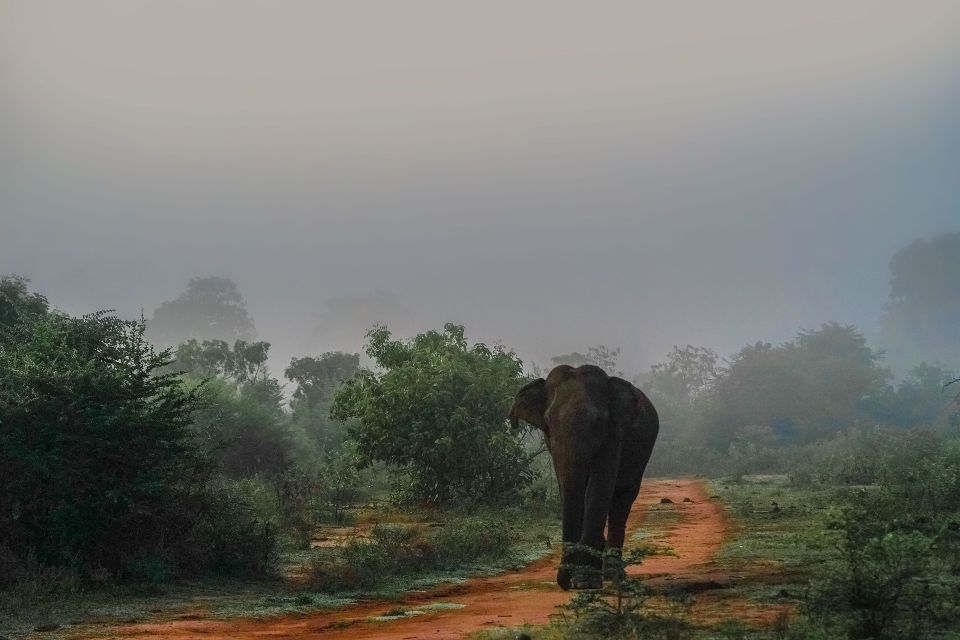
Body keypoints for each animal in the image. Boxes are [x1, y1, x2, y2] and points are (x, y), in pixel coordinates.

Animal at [510, 364, 660, 592]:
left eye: (598, 421)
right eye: (548, 421)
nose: (564, 583)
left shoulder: (615, 433)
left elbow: (599, 487)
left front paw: (584, 582)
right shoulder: (552, 443)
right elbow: (567, 484)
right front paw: (582, 578)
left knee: (622, 500)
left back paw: (614, 576)